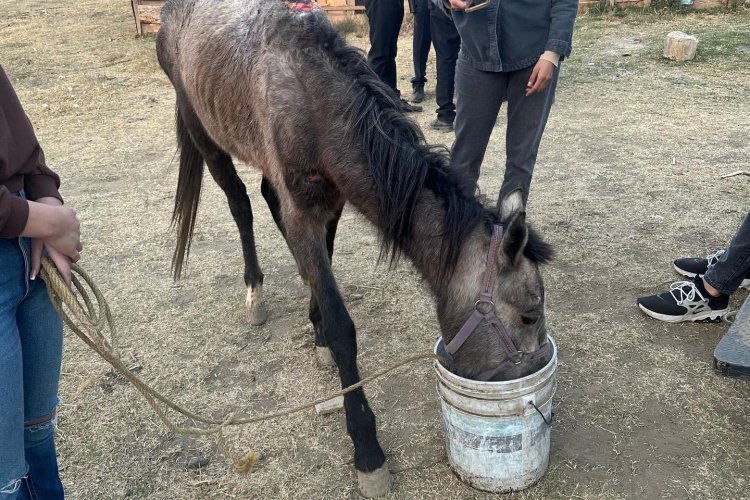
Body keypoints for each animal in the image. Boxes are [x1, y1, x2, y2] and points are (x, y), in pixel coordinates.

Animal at [157, 0, 552, 494]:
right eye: (529, 315)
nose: (536, 378)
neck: (315, 102)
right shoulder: (304, 210)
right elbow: (343, 326)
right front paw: (367, 449)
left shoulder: (331, 202)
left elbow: (320, 265)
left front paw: (317, 326)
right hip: (206, 137)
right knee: (240, 204)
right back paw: (254, 292)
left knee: (266, 198)